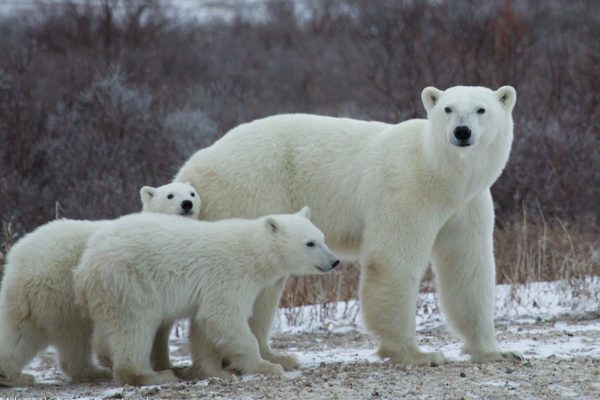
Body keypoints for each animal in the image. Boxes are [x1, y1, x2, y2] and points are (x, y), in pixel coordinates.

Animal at [0, 182, 202, 388]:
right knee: (75, 334)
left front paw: (165, 364)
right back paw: (95, 371)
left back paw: (14, 375)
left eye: (192, 193)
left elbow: (162, 329)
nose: (187, 204)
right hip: (62, 289)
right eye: (170, 195)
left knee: (21, 332)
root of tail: (18, 257)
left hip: (30, 296)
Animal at [72, 208, 340, 386]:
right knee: (134, 327)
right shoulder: (229, 275)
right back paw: (154, 375)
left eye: (323, 238)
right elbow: (223, 316)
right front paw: (267, 366)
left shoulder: (210, 288)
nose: (334, 261)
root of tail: (86, 264)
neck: (252, 252)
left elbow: (204, 326)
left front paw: (215, 371)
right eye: (310, 243)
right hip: (129, 281)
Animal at [176, 86, 524, 368]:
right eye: (448, 109)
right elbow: (393, 260)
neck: (440, 173)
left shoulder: (468, 205)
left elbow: (469, 267)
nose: (462, 132)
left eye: (481, 109)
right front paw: (417, 353)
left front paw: (497, 351)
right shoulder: (405, 190)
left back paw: (275, 355)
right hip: (252, 191)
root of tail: (190, 169)